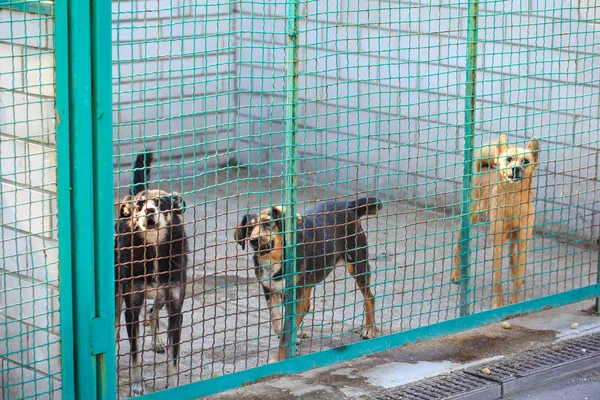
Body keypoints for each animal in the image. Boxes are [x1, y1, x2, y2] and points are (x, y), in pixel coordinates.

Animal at [113, 152, 186, 396]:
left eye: (162, 203)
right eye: (139, 205)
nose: (149, 212)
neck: (153, 248)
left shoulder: (176, 306)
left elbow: (174, 358)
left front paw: (173, 386)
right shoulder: (132, 308)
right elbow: (135, 354)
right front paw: (137, 385)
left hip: (164, 294)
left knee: (153, 311)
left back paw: (158, 341)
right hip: (117, 290)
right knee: (115, 320)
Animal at [452, 135, 540, 310]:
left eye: (525, 161)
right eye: (509, 159)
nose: (516, 169)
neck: (514, 200)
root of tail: (485, 168)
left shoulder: (523, 241)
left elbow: (518, 272)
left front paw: (514, 301)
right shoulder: (497, 243)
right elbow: (497, 278)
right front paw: (498, 303)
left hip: (514, 237)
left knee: (513, 256)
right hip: (470, 219)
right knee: (458, 246)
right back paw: (456, 275)